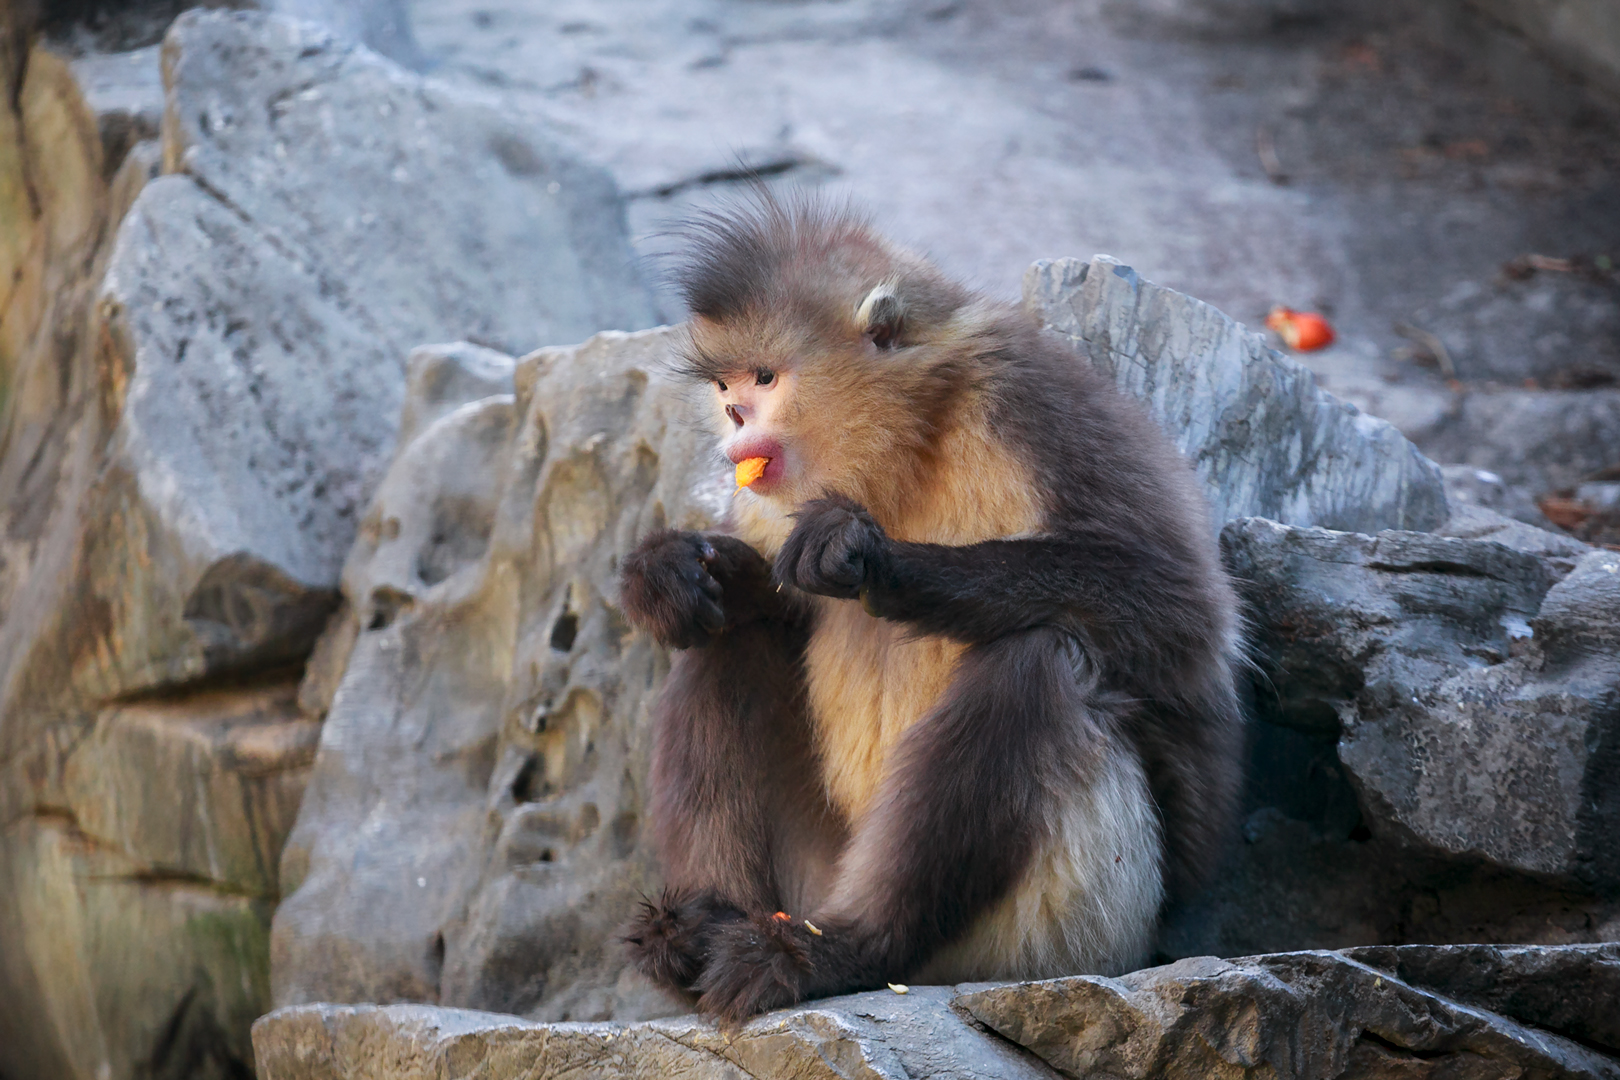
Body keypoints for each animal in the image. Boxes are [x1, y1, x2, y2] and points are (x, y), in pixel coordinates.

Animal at [616, 195, 1244, 1022]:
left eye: (764, 377)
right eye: (724, 389)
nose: (736, 420)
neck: (912, 441)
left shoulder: (1030, 398)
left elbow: (1184, 617)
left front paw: (879, 559)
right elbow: (765, 609)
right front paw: (669, 572)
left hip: (1069, 924)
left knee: (1041, 658)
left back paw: (841, 947)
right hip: (820, 867)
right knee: (727, 638)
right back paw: (698, 933)